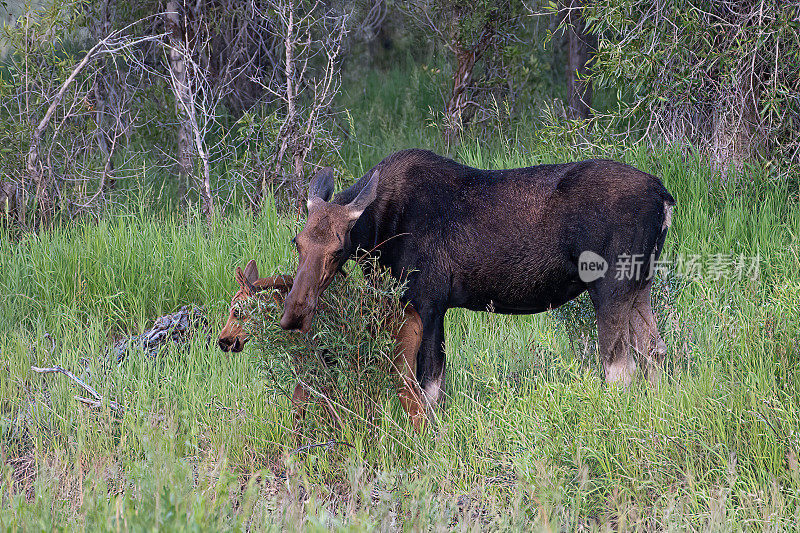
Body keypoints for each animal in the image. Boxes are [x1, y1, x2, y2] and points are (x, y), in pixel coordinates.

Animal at [219, 258, 424, 428]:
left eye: (236, 311)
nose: (222, 341)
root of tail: (416, 321)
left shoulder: (311, 367)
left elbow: (309, 409)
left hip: (398, 369)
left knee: (417, 411)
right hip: (409, 369)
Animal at [282, 150, 676, 424]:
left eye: (338, 250)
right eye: (296, 242)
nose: (294, 314)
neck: (378, 236)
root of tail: (664, 196)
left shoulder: (428, 301)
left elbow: (429, 385)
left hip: (610, 286)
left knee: (620, 366)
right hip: (642, 283)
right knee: (654, 352)